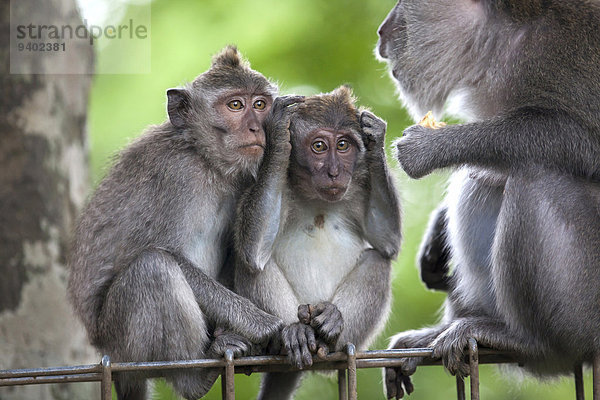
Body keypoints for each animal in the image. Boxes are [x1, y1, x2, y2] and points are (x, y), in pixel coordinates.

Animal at [67, 46, 288, 396]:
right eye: (235, 105)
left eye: (260, 104)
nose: (257, 128)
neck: (206, 160)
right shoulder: (178, 176)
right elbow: (171, 255)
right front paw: (265, 324)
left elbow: (248, 254)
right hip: (123, 342)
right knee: (153, 268)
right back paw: (193, 380)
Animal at [234, 87, 404, 400]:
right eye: (319, 147)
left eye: (343, 145)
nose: (335, 171)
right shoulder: (251, 183)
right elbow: (252, 250)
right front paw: (279, 133)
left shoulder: (357, 184)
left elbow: (387, 241)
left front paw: (375, 138)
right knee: (251, 265)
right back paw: (293, 334)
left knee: (378, 261)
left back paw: (331, 331)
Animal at [378, 1, 600, 398]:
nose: (381, 34)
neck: (504, 34)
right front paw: (436, 232)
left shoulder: (562, 55)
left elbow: (583, 143)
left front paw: (434, 147)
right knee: (484, 179)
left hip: (587, 306)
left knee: (533, 172)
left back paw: (530, 342)